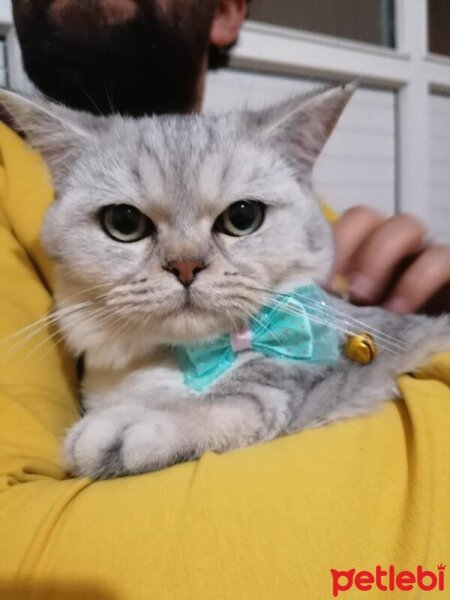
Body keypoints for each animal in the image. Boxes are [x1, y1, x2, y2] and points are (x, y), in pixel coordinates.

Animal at [0, 85, 450, 478]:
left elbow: (241, 397)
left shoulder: (313, 378)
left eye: (243, 217)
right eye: (124, 223)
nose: (185, 266)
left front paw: (130, 425)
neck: (185, 360)